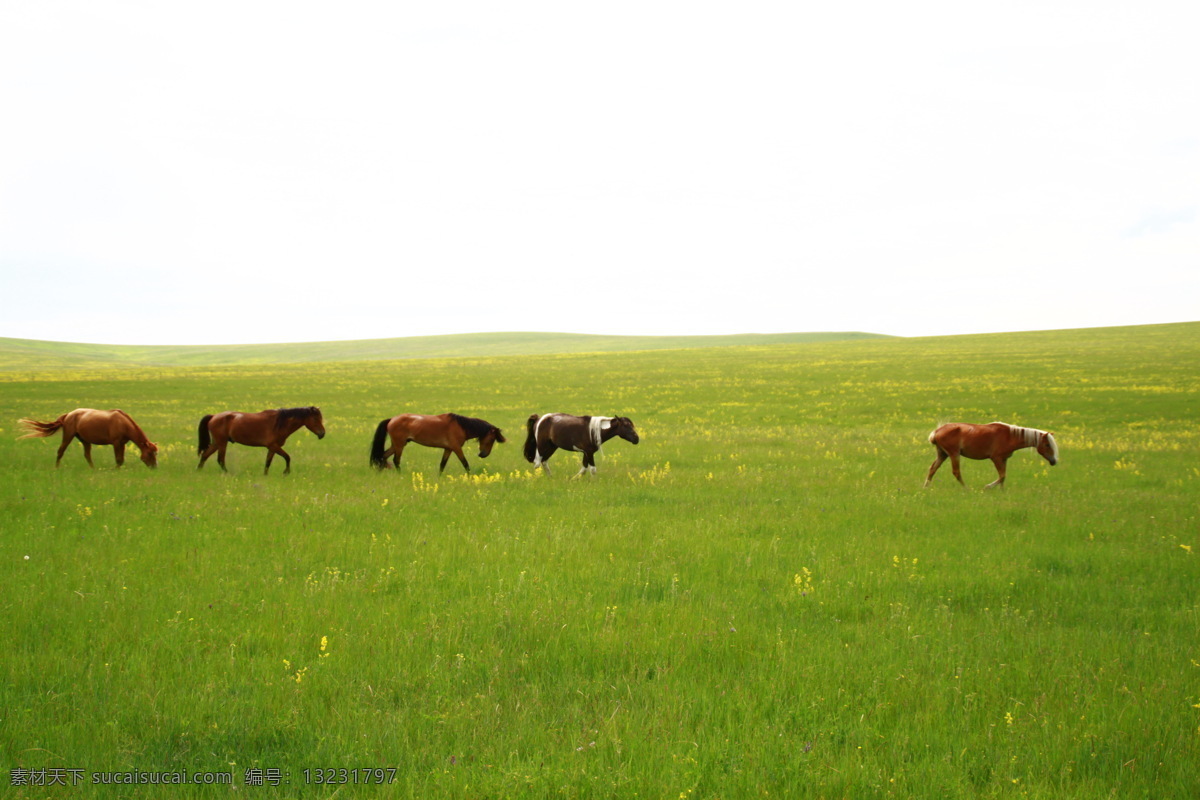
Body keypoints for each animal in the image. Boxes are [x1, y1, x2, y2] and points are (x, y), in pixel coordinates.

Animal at [18, 408, 159, 469]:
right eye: (150, 453)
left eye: (155, 453)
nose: (154, 467)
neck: (123, 423)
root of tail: (68, 414)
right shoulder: (116, 443)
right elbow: (118, 460)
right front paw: (115, 471)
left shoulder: (122, 443)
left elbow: (121, 460)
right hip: (68, 436)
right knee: (60, 451)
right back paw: (57, 468)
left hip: (84, 440)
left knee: (87, 455)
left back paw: (93, 469)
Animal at [370, 413, 505, 473]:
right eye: (491, 439)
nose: (483, 455)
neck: (461, 427)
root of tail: (392, 419)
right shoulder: (456, 448)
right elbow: (465, 463)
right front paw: (470, 477)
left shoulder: (448, 449)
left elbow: (442, 465)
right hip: (399, 445)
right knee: (395, 460)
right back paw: (400, 474)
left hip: (397, 445)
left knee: (383, 456)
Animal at [925, 421, 1058, 488]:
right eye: (1047, 445)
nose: (1054, 461)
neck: (1010, 436)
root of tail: (937, 431)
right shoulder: (996, 458)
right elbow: (1002, 476)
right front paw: (988, 486)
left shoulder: (1004, 459)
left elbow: (1003, 477)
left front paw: (1002, 492)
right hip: (954, 454)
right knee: (956, 472)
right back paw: (966, 489)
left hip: (943, 454)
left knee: (932, 469)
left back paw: (925, 487)